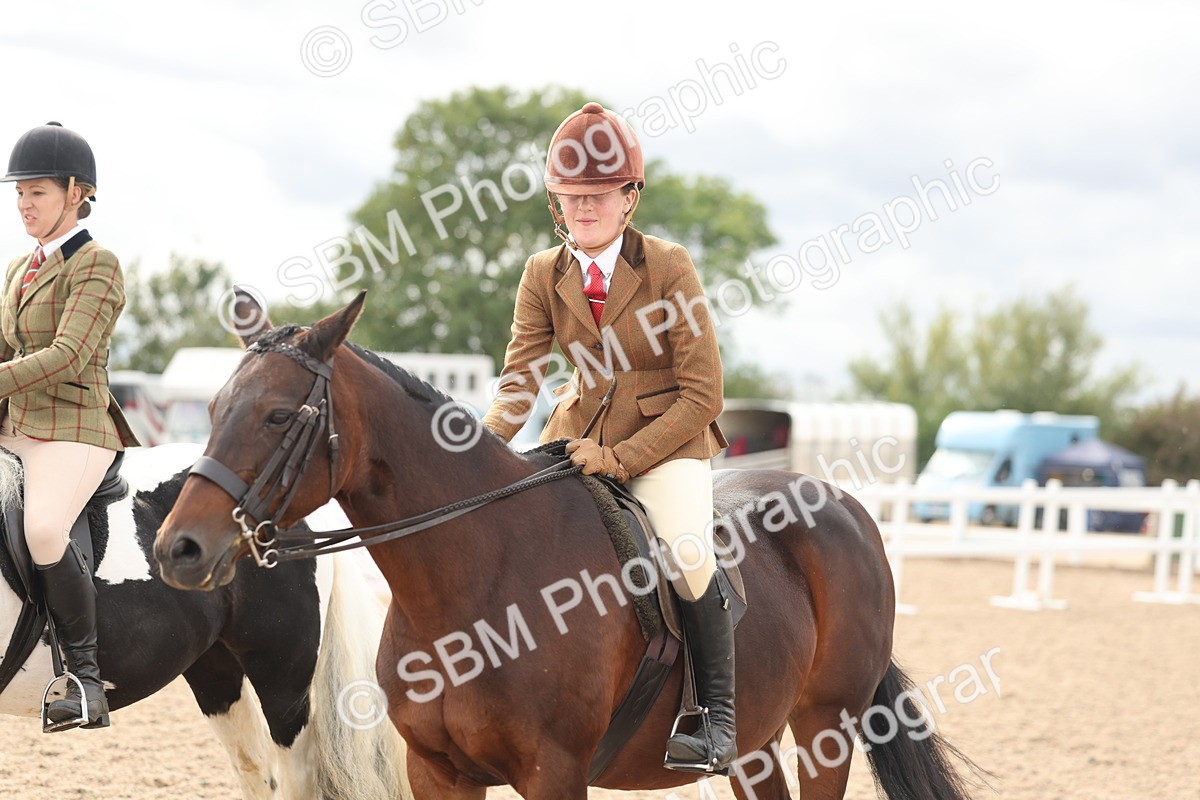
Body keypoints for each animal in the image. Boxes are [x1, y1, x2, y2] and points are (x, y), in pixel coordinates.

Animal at [155, 291, 977, 800]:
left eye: (276, 415)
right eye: (216, 409)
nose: (177, 550)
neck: (474, 578)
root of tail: (844, 507)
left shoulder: (554, 771)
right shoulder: (438, 771)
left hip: (826, 727)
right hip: (757, 742)